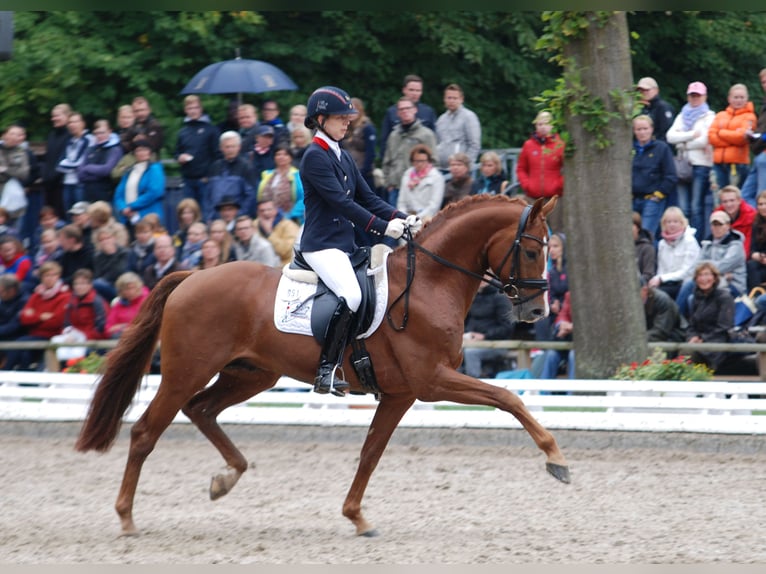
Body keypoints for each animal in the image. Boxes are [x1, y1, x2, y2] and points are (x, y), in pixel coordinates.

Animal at [76, 197, 568, 540]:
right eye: (530, 251)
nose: (537, 311)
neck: (428, 283)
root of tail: (191, 276)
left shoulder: (402, 393)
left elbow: (371, 453)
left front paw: (357, 518)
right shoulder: (430, 382)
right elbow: (507, 396)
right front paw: (556, 460)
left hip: (251, 374)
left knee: (202, 410)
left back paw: (226, 478)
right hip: (186, 372)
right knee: (146, 431)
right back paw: (126, 519)